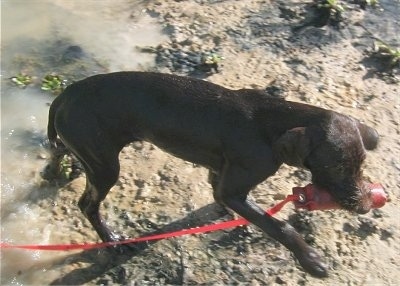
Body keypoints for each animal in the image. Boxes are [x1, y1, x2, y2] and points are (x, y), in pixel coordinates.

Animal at [46, 71, 378, 278]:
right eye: (336, 168)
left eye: (361, 165)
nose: (365, 206)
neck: (273, 123)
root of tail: (65, 94)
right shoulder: (233, 189)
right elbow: (280, 227)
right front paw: (311, 260)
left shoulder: (221, 172)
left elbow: (220, 193)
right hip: (104, 165)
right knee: (87, 205)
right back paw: (113, 240)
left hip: (83, 150)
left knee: (56, 149)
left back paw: (52, 172)